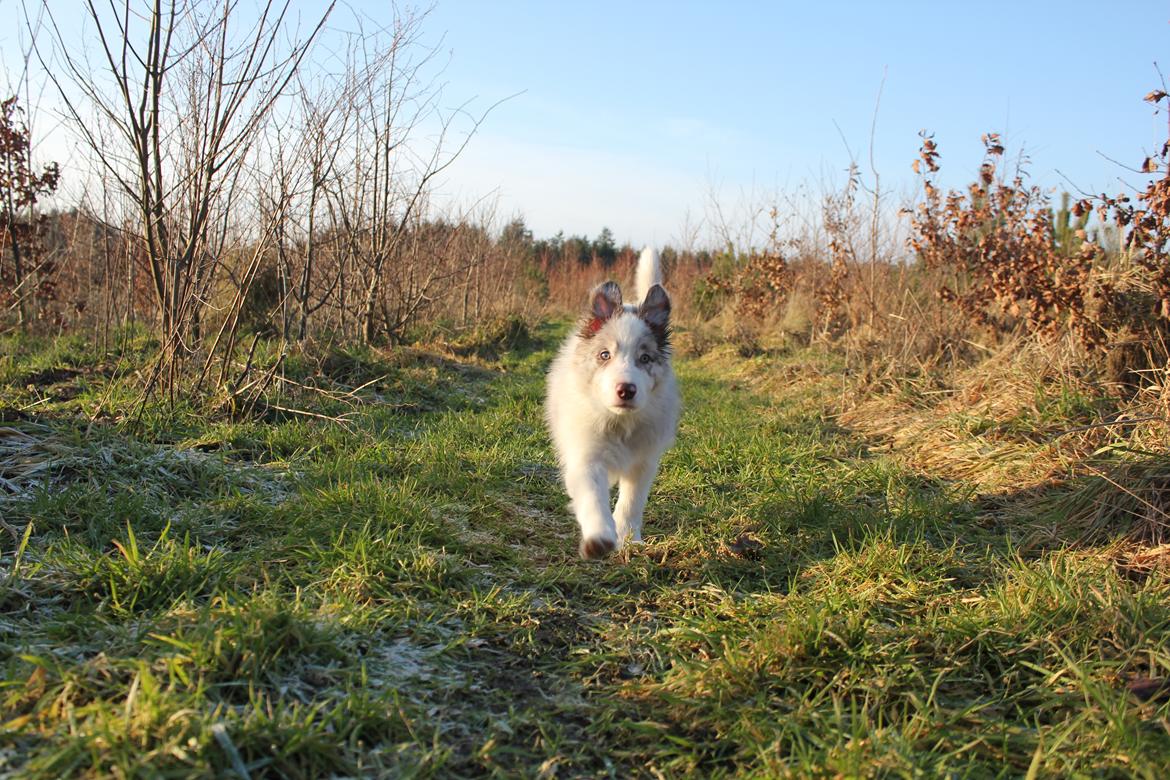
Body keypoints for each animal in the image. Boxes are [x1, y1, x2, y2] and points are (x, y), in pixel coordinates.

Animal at [549, 246, 683, 558]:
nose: (626, 390)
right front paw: (600, 536)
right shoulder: (586, 458)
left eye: (644, 358)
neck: (620, 424)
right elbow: (593, 498)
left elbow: (631, 502)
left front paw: (629, 538)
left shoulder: (644, 462)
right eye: (604, 355)